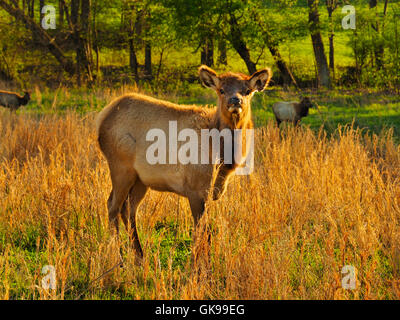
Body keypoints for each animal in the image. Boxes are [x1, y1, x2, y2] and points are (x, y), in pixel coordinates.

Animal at [97, 65, 272, 260]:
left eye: (247, 91)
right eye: (221, 90)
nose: (235, 100)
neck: (221, 158)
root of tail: (103, 118)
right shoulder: (195, 188)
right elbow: (203, 233)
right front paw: (201, 265)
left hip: (140, 179)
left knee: (128, 209)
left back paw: (139, 256)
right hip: (120, 166)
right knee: (112, 205)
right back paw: (119, 257)